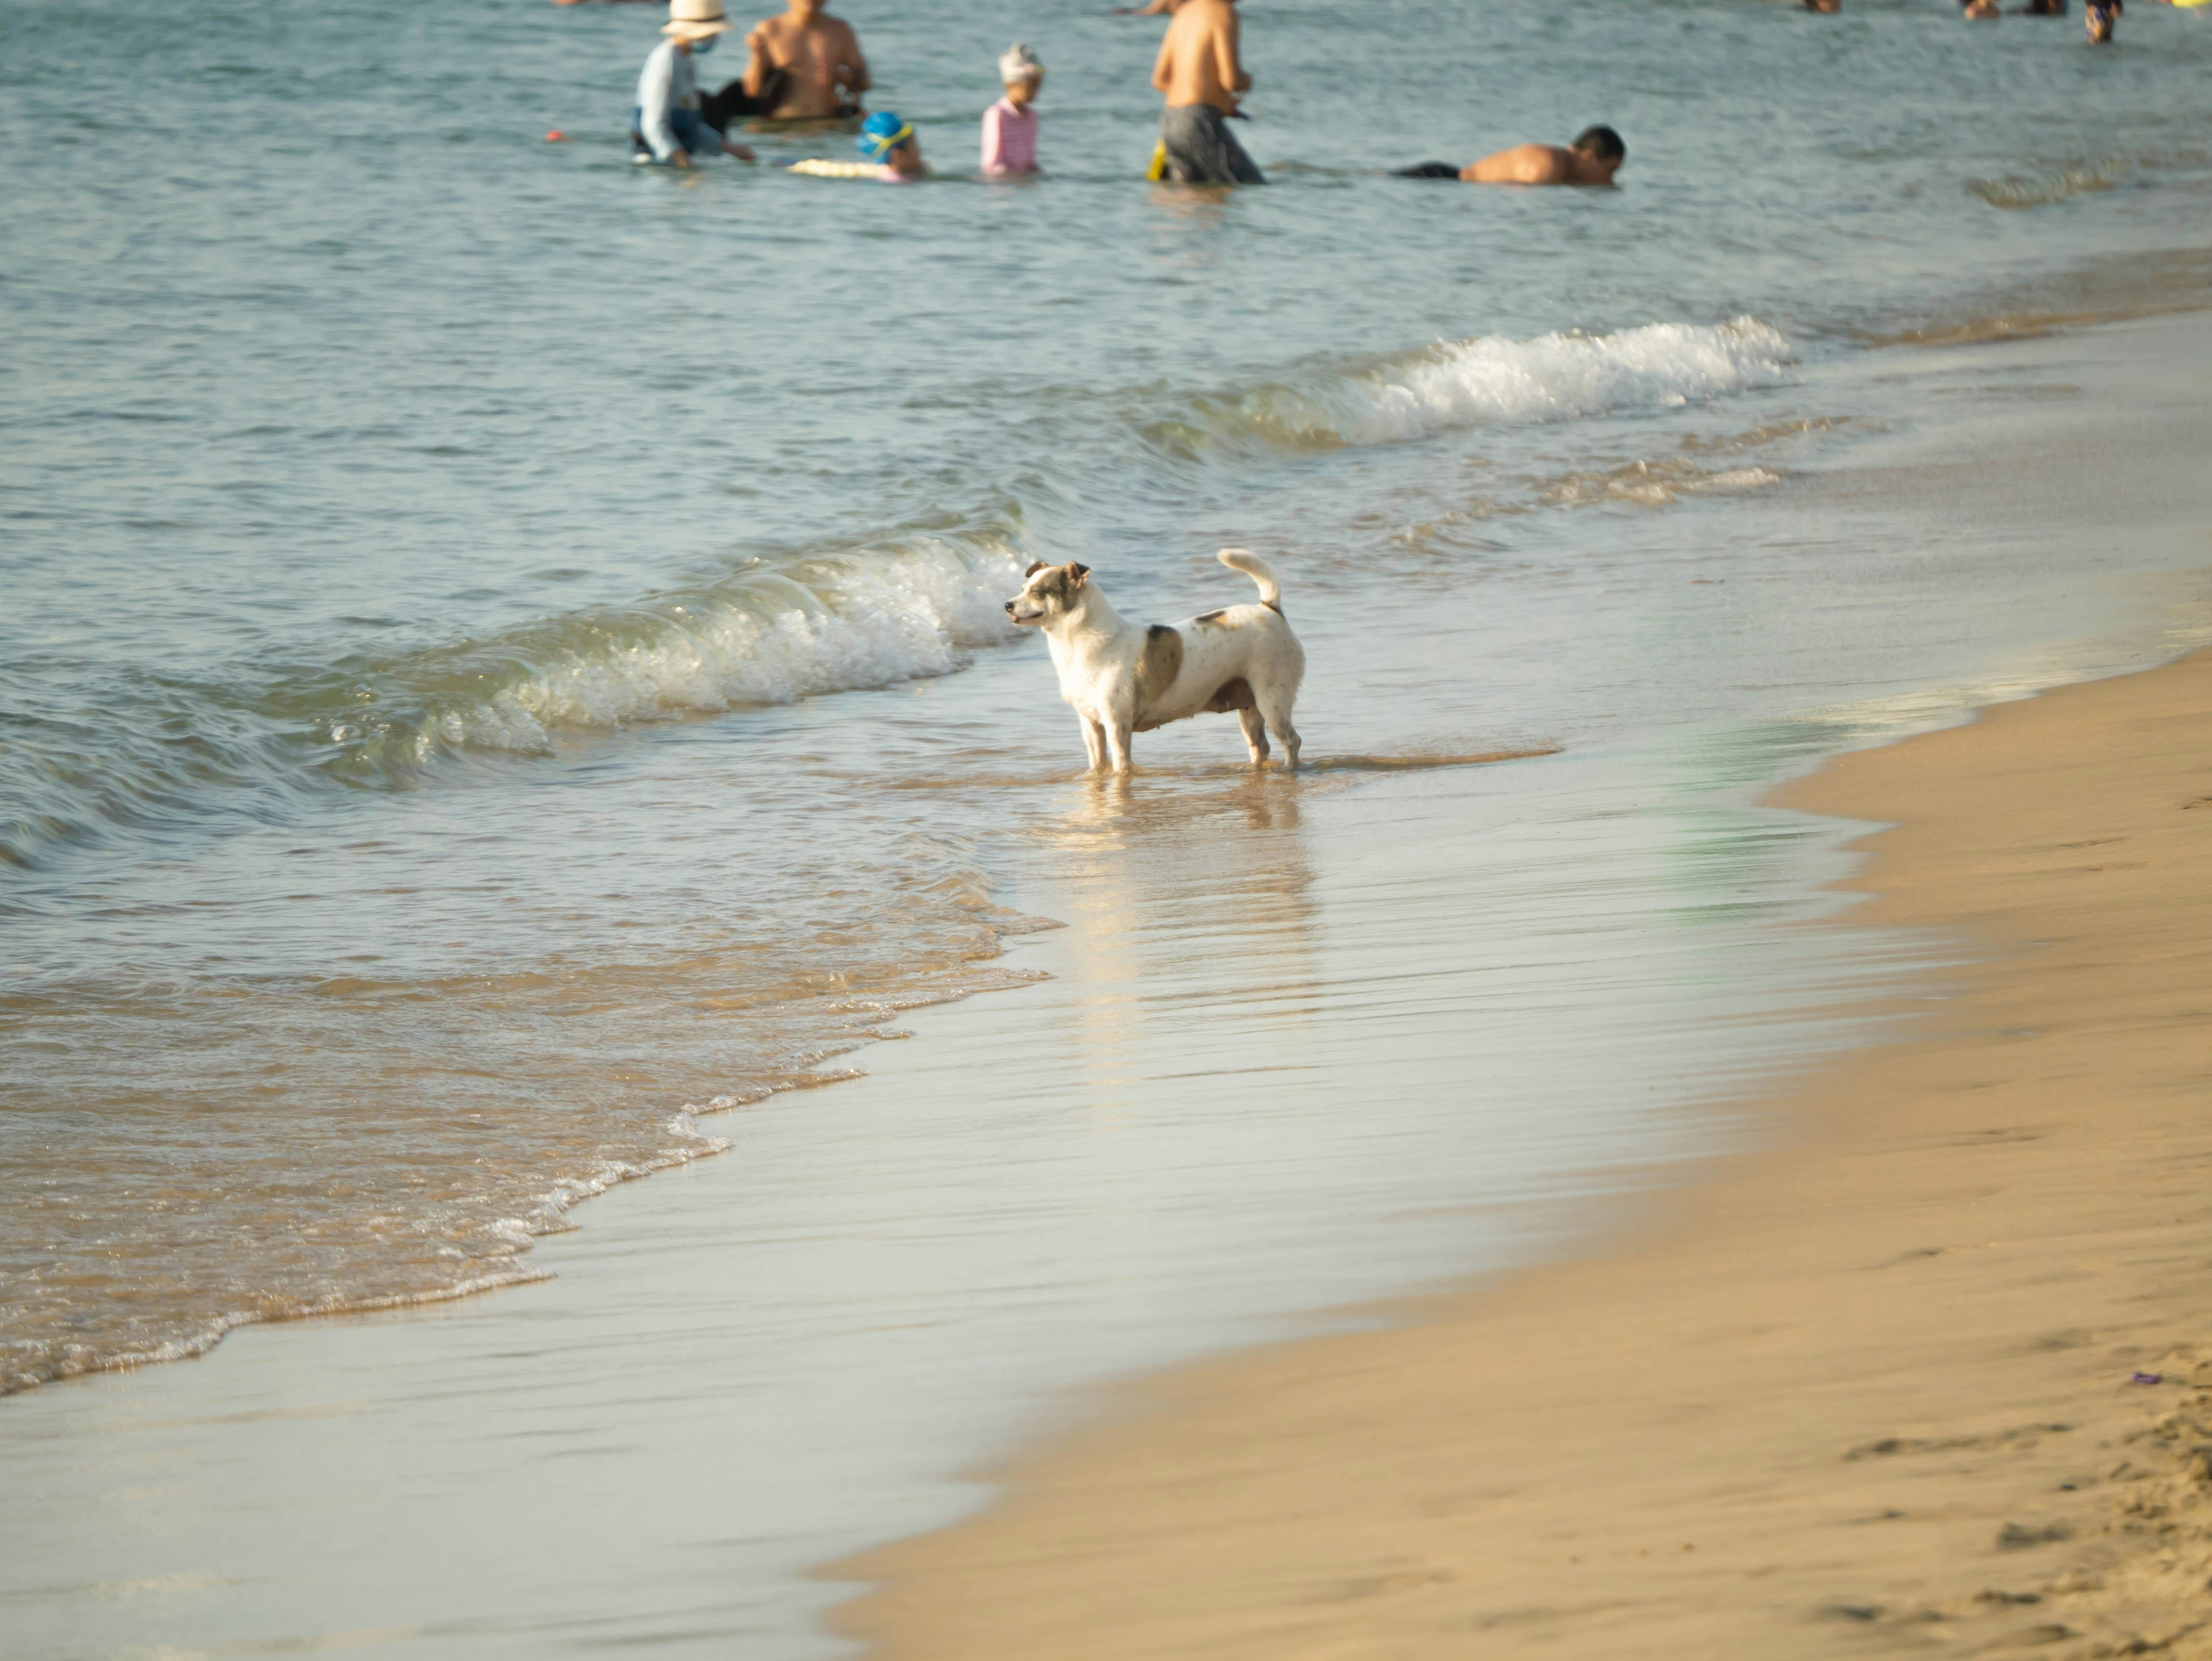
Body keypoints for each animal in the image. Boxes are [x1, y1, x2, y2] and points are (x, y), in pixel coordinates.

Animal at [1000, 553, 1291, 774]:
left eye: (1038, 593)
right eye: (1023, 590)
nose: (1007, 605)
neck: (1075, 645)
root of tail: (1268, 608)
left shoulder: (1117, 724)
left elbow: (1121, 765)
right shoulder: (1091, 726)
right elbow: (1098, 763)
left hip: (1272, 704)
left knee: (1291, 742)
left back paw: (1290, 770)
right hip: (1250, 710)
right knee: (1261, 747)